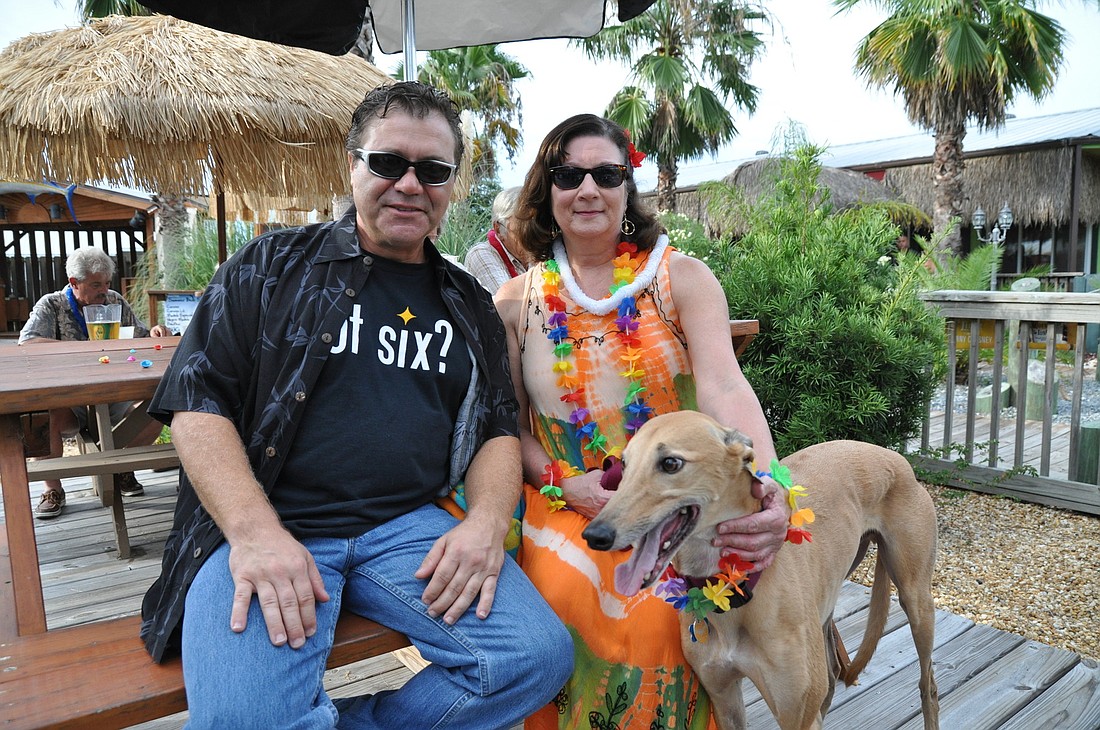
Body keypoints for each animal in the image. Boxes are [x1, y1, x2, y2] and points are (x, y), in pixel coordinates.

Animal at [585, 413, 937, 729]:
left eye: (671, 463)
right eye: (623, 465)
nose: (595, 535)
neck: (735, 592)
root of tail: (895, 455)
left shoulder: (797, 716)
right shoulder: (724, 700)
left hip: (915, 599)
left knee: (927, 686)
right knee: (832, 673)